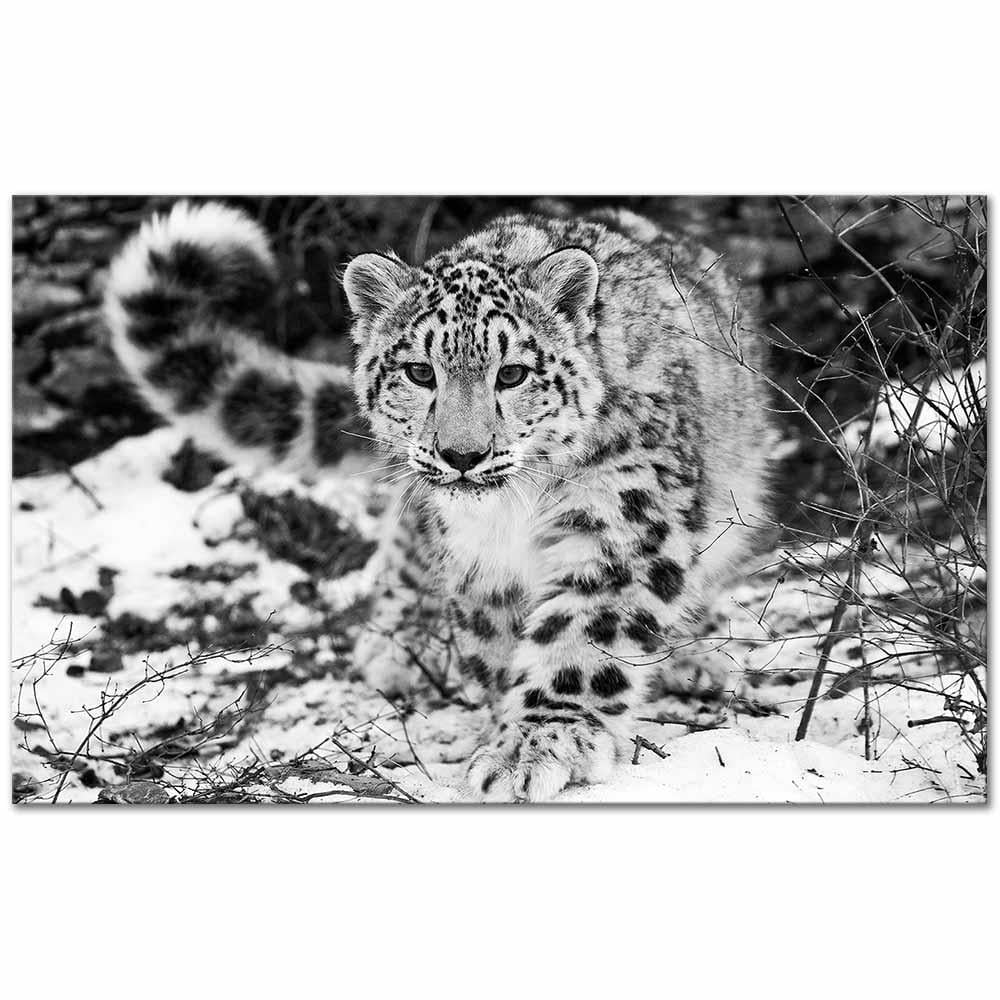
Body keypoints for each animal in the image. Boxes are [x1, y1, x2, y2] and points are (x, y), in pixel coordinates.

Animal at [104, 199, 772, 802]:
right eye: (420, 372)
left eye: (513, 373)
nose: (462, 454)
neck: (512, 516)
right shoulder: (479, 563)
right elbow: (497, 646)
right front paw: (505, 730)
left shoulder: (619, 521)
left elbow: (583, 633)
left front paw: (538, 743)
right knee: (404, 546)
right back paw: (398, 645)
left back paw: (694, 661)